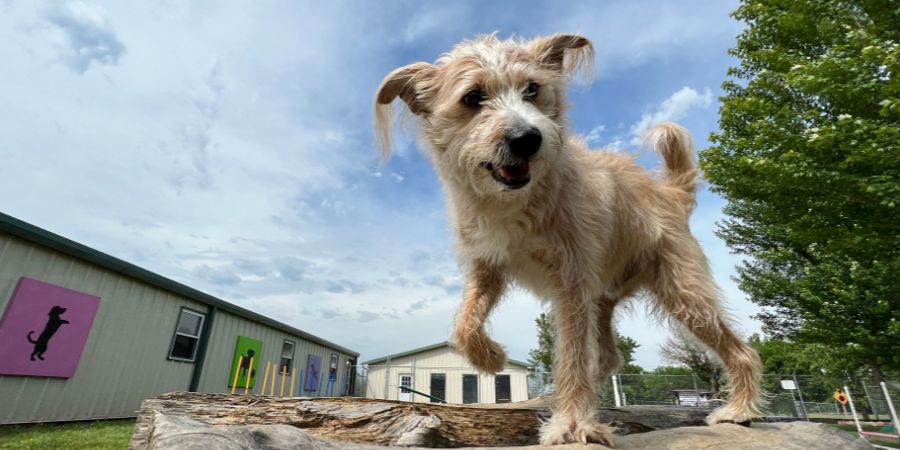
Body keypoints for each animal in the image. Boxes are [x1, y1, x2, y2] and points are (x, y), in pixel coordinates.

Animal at [376, 33, 764, 444]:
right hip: (604, 297)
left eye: (532, 89)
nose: (527, 139)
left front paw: (573, 423)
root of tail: (671, 194)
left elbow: (573, 354)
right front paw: (491, 357)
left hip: (684, 293)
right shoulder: (488, 269)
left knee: (741, 351)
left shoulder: (571, 283)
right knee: (608, 356)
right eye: (473, 97)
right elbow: (464, 326)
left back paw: (739, 410)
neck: (515, 202)